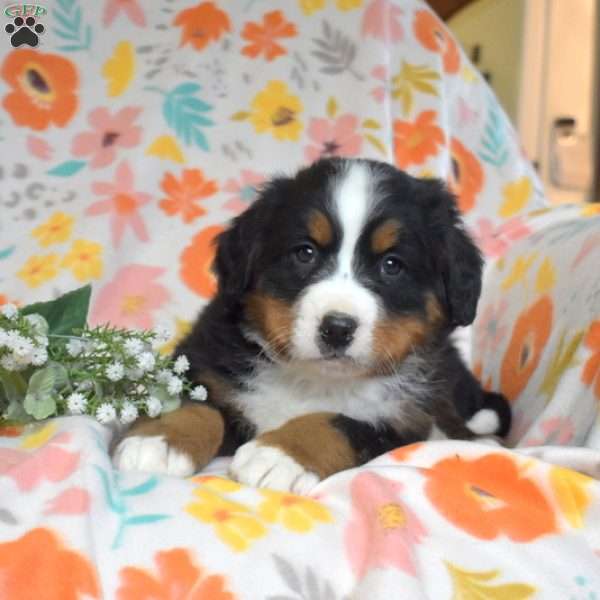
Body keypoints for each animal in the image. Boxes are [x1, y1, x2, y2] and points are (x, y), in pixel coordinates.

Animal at [113, 157, 510, 494]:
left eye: (392, 265)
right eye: (305, 252)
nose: (337, 328)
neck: (312, 380)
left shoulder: (403, 421)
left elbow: (338, 422)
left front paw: (280, 455)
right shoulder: (207, 361)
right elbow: (192, 402)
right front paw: (159, 440)